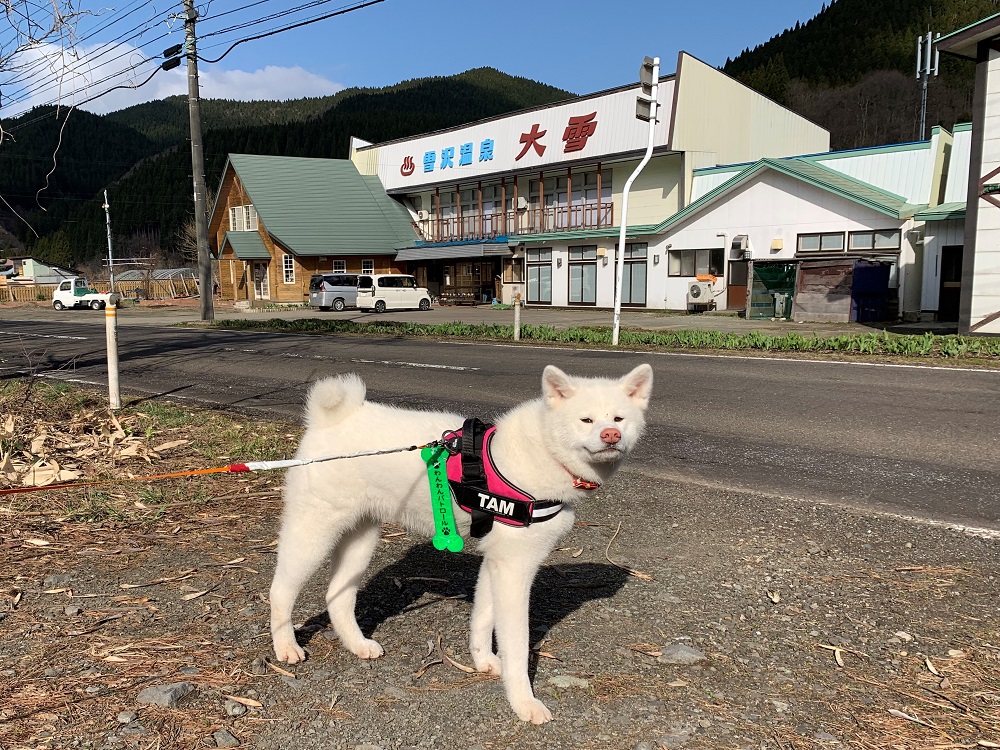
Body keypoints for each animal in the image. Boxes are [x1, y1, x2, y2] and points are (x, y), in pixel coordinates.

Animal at [270, 368, 652, 724]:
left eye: (619, 419)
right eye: (585, 420)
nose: (611, 435)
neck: (541, 451)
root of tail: (331, 419)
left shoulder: (497, 563)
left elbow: (483, 620)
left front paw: (483, 661)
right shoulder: (515, 568)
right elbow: (516, 646)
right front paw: (524, 702)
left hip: (360, 539)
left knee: (338, 597)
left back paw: (357, 644)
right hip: (313, 533)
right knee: (280, 591)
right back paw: (286, 646)